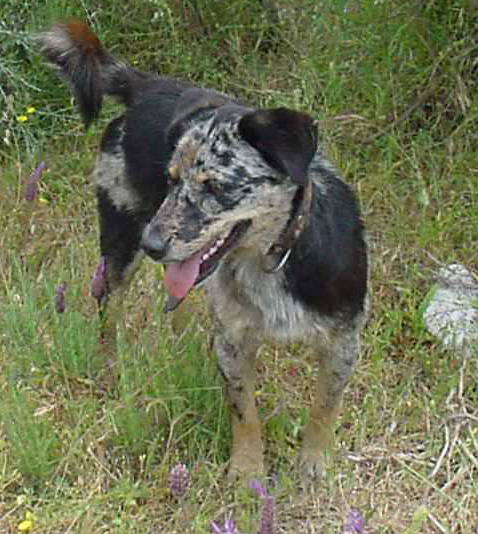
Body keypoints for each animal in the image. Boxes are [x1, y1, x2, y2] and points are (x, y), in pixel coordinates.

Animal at [37, 19, 368, 486]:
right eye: (171, 179)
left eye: (215, 186)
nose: (152, 244)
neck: (270, 260)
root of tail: (147, 85)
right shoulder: (233, 341)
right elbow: (244, 410)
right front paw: (246, 472)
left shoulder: (343, 339)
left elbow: (325, 405)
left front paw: (314, 463)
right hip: (118, 242)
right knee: (107, 310)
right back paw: (109, 371)